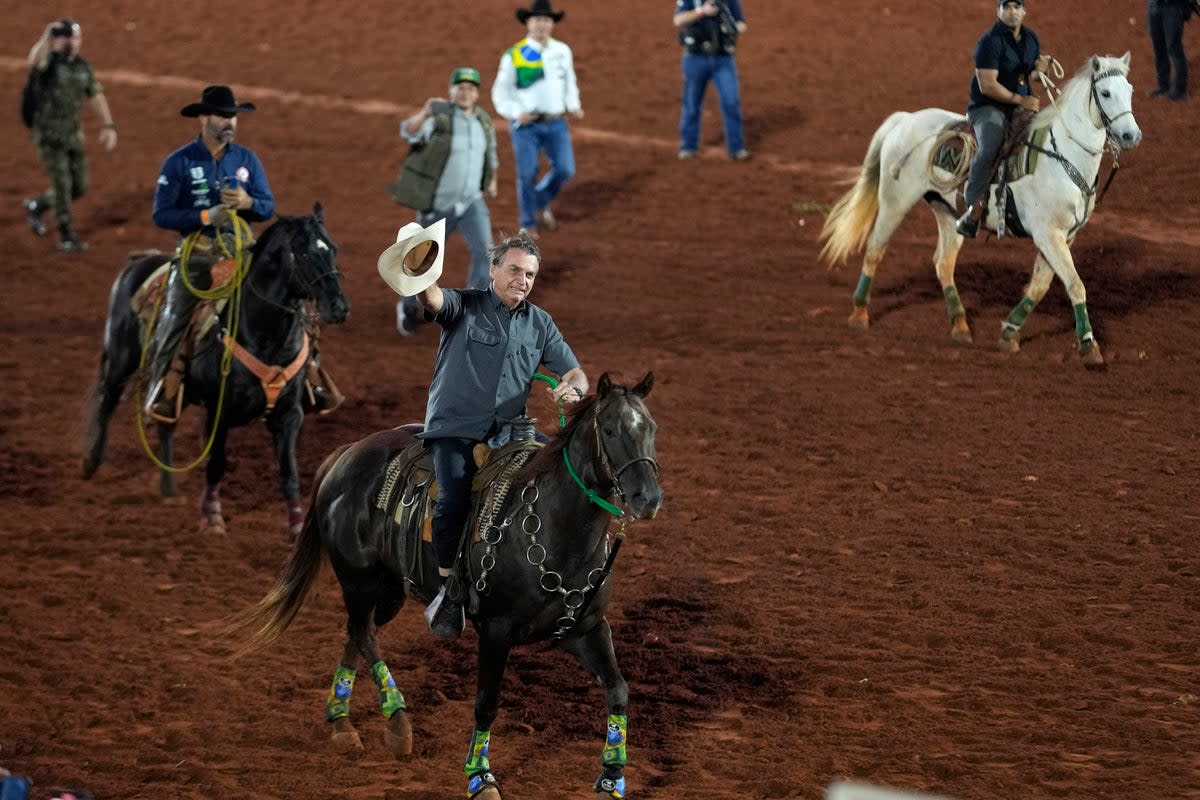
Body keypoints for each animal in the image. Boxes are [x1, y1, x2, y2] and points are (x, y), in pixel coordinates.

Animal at [81, 203, 348, 534]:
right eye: (302, 252)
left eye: (332, 248)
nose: (339, 307)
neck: (261, 332)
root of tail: (138, 260)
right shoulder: (217, 411)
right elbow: (216, 463)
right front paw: (212, 518)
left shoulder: (289, 414)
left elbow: (290, 472)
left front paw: (297, 526)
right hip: (120, 358)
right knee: (107, 401)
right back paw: (91, 465)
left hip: (173, 386)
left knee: (166, 423)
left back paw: (169, 490)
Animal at [231, 371, 667, 800]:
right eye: (609, 430)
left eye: (651, 427)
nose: (648, 498)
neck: (556, 527)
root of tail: (347, 453)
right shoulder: (496, 631)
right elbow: (486, 704)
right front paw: (480, 778)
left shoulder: (584, 628)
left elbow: (618, 688)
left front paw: (612, 777)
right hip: (358, 579)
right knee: (363, 632)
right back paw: (396, 721)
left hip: (389, 590)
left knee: (358, 632)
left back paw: (341, 721)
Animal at [825, 53, 1142, 369]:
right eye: (1105, 93)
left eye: (1129, 90)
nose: (1131, 136)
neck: (1061, 156)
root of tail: (906, 119)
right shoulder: (1048, 234)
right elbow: (1075, 285)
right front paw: (1089, 346)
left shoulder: (1065, 236)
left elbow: (1039, 286)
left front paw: (1009, 332)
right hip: (895, 201)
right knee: (875, 249)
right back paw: (859, 314)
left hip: (947, 211)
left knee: (943, 262)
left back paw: (960, 326)